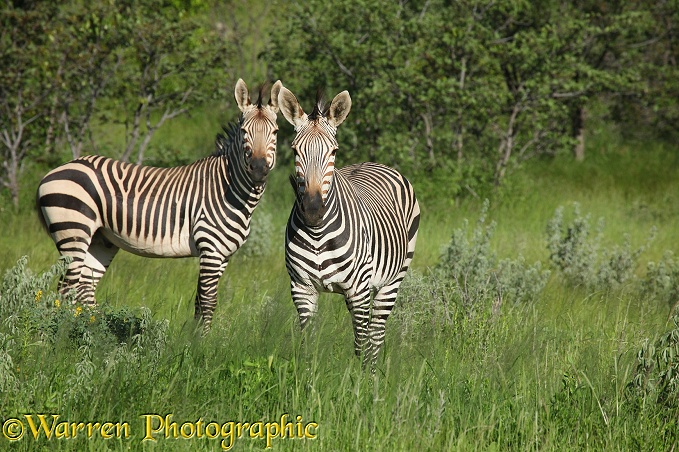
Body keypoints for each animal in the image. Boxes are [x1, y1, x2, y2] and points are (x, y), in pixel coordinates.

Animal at [37, 78, 282, 332]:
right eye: (244, 132)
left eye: (275, 132)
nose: (259, 169)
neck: (230, 189)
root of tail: (54, 172)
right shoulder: (211, 250)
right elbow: (208, 301)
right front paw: (204, 340)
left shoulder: (223, 255)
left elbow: (199, 302)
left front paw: (193, 338)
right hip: (73, 233)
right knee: (65, 290)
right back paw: (61, 334)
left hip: (100, 240)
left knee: (84, 288)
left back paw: (93, 331)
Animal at [276, 85, 420, 370]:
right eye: (295, 151)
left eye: (333, 152)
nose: (313, 211)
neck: (318, 235)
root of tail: (374, 163)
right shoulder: (301, 288)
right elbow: (308, 343)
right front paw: (306, 377)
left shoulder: (358, 290)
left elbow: (361, 344)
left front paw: (358, 380)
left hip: (391, 281)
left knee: (375, 333)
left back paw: (373, 374)